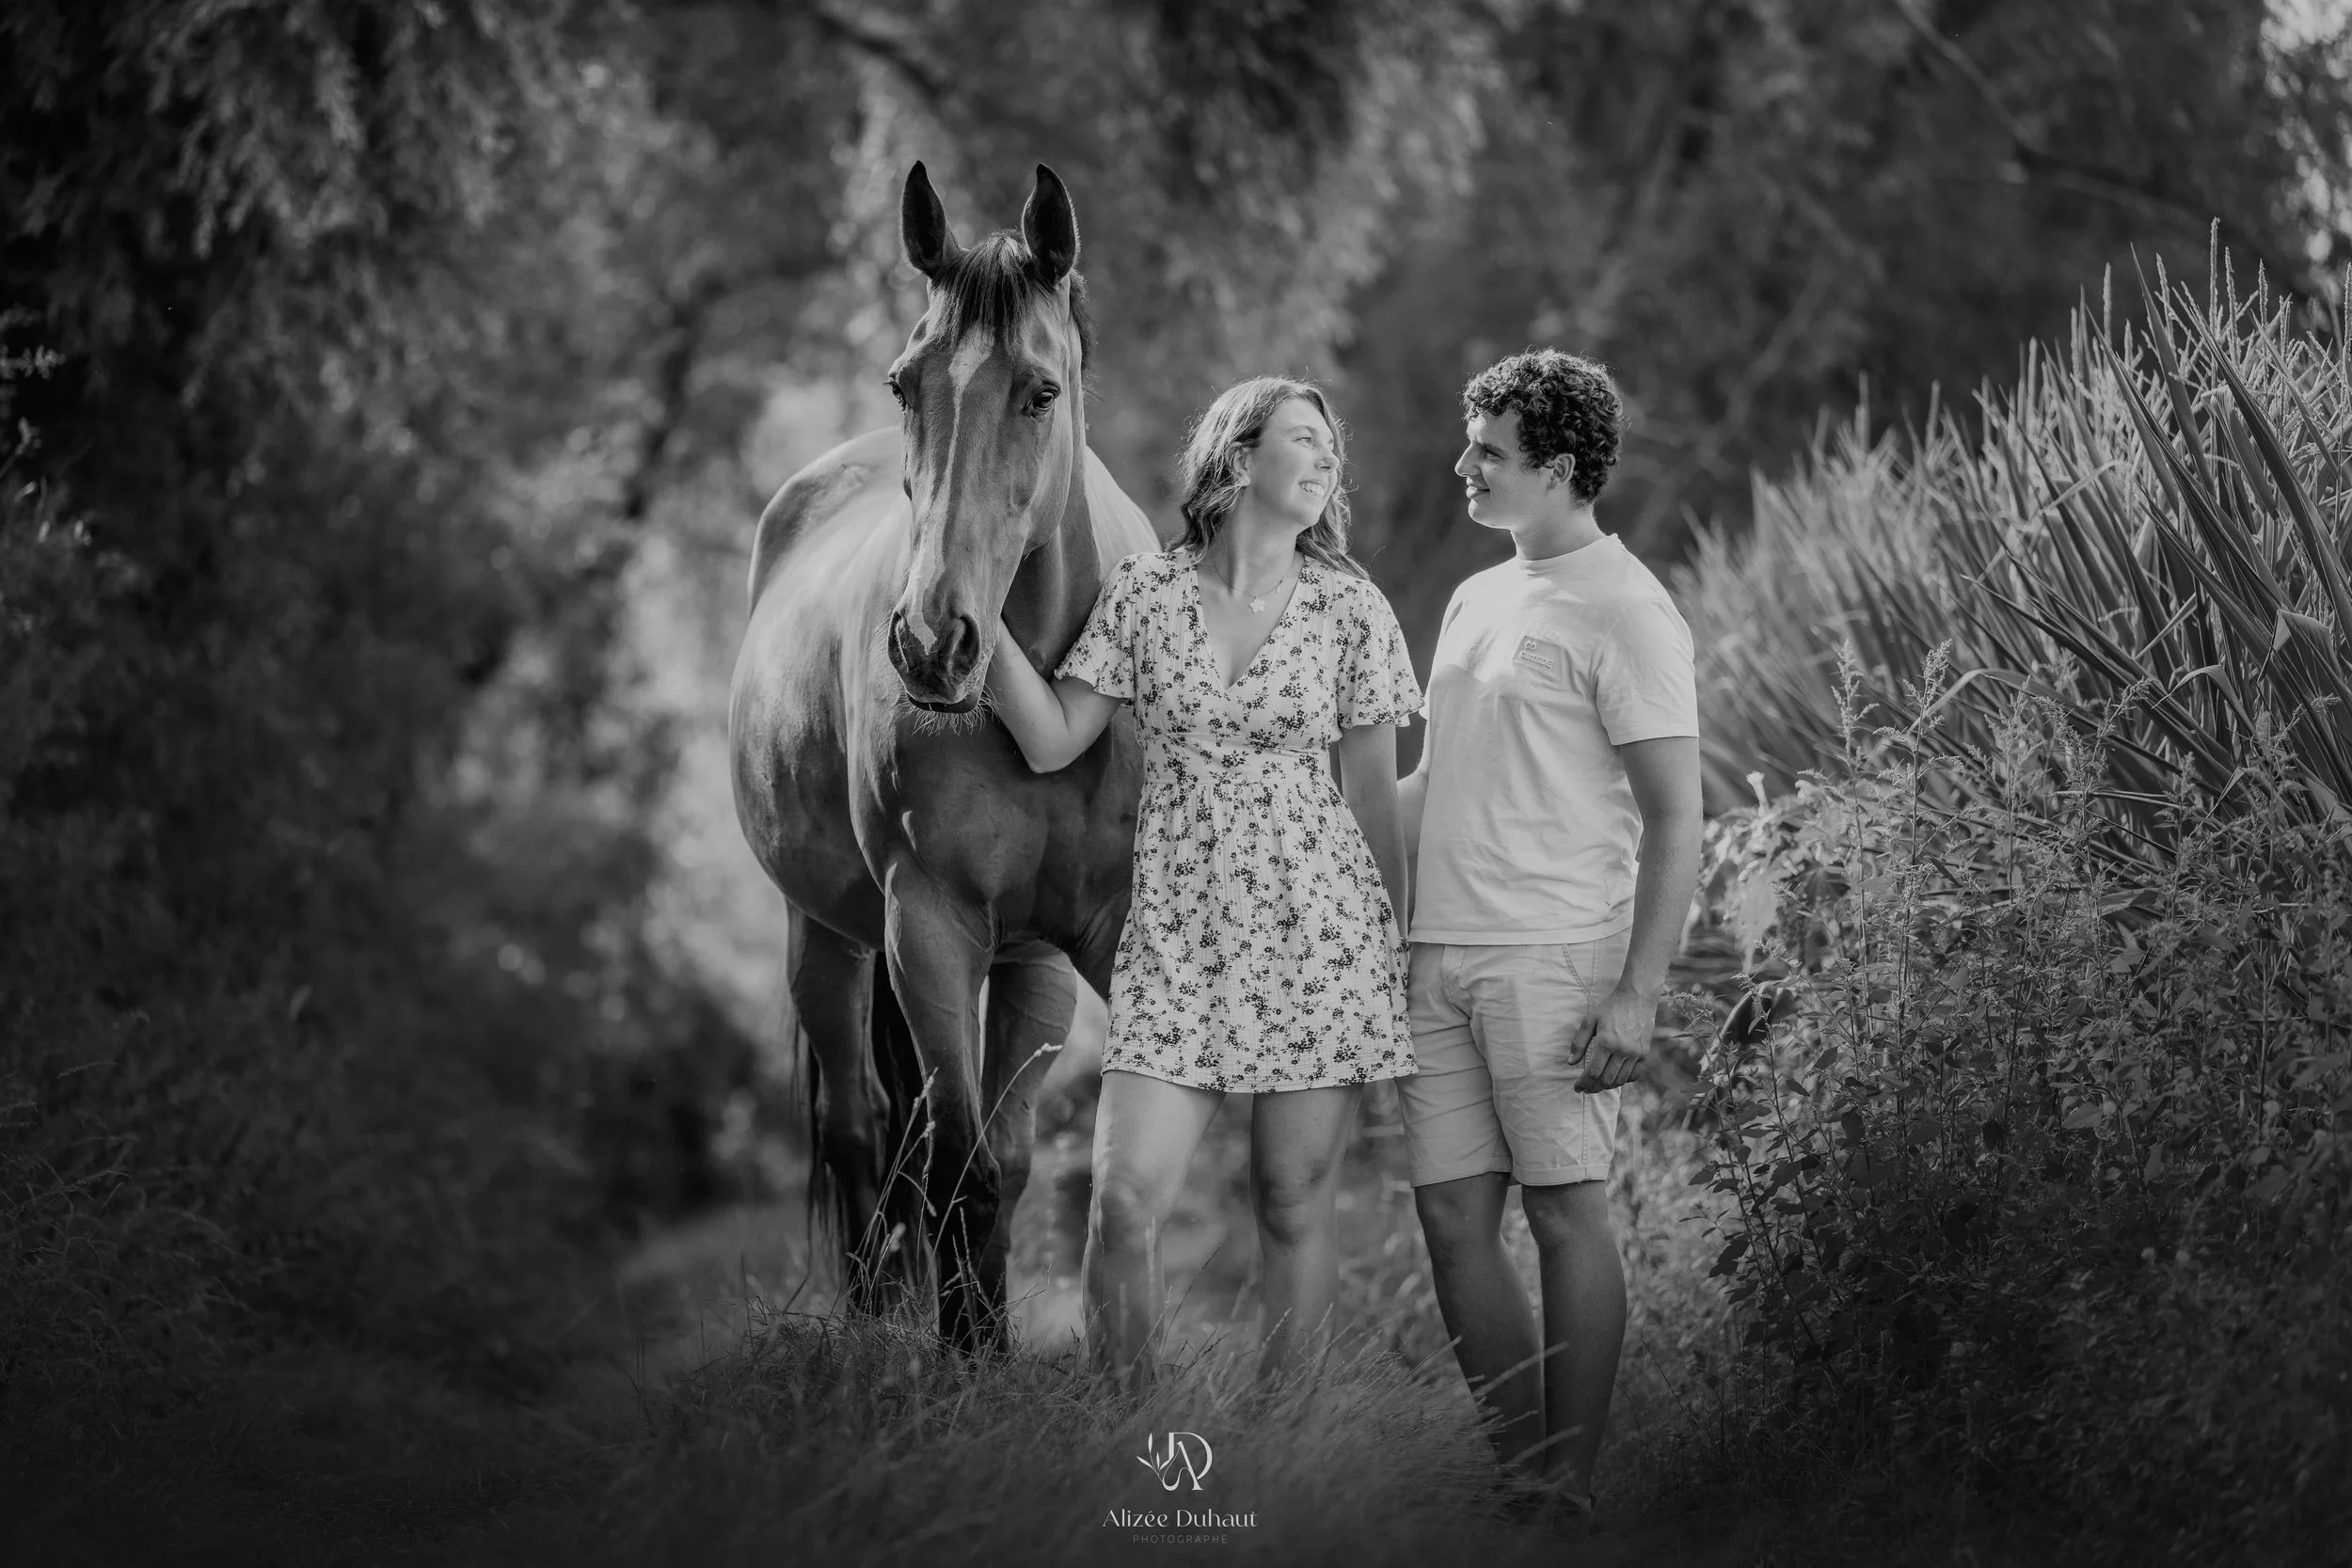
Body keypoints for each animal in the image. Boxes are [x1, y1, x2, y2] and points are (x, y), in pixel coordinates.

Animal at [728, 162, 1156, 1349]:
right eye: (902, 382)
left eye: (1040, 392)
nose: (931, 642)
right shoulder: (927, 925)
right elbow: (958, 1169)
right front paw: (968, 1356)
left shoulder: (1074, 943)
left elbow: (1008, 1163)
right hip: (826, 938)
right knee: (862, 1132)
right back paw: (875, 1327)